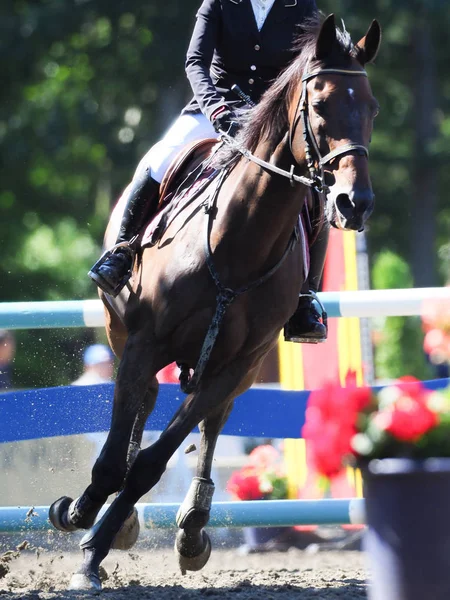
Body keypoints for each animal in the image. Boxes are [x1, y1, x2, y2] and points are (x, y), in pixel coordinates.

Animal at [49, 14, 382, 592]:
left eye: (372, 107)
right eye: (319, 105)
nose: (353, 203)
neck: (238, 240)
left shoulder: (234, 366)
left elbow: (153, 463)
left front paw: (95, 548)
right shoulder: (143, 345)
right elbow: (116, 460)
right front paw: (80, 520)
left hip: (231, 368)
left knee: (210, 424)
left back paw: (191, 525)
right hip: (125, 335)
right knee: (141, 408)